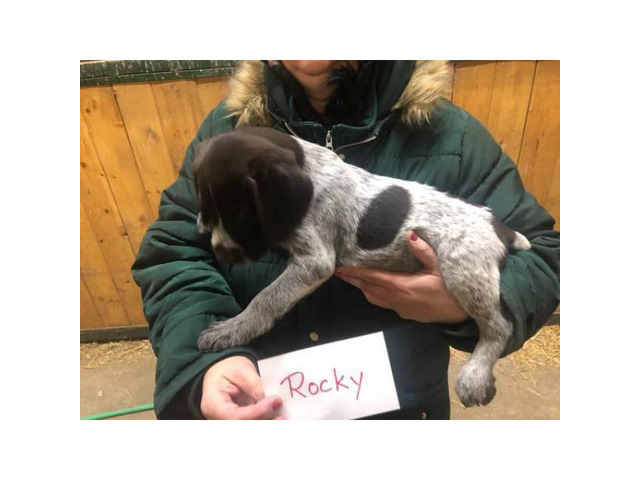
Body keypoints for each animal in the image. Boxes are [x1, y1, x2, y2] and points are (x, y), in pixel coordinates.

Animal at [194, 125, 528, 406]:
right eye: (207, 211)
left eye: (239, 213)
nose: (222, 254)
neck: (308, 169)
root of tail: (499, 226)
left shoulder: (315, 261)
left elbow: (266, 299)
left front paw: (233, 329)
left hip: (462, 267)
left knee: (500, 326)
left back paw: (475, 376)